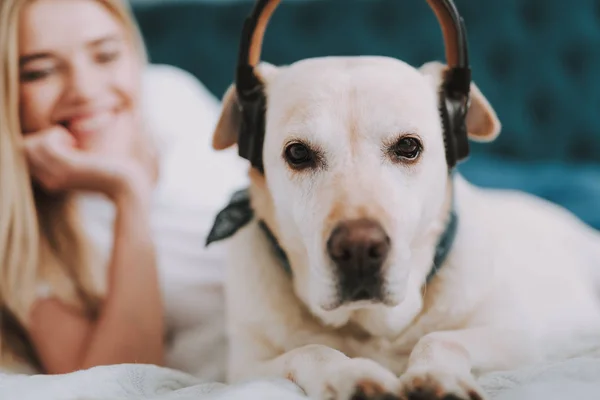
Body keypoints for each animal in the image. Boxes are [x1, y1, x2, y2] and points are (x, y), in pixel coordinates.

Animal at [205, 3, 600, 400]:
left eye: (408, 146)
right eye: (298, 153)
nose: (359, 250)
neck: (372, 327)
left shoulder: (520, 339)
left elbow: (443, 338)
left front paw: (438, 376)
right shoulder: (244, 367)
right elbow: (312, 350)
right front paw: (352, 375)